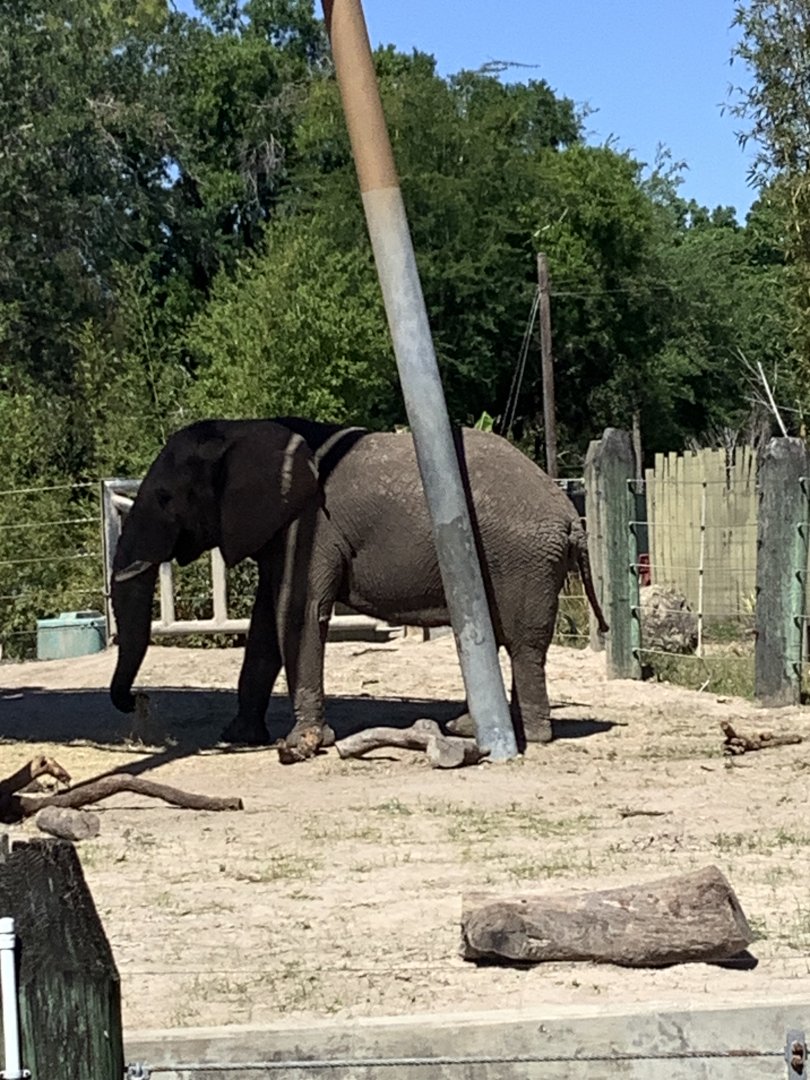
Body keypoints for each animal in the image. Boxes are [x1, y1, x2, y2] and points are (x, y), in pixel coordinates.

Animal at [110, 417, 608, 753]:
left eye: (164, 498)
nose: (136, 700)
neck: (245, 429)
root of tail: (570, 515)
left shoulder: (310, 526)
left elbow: (297, 612)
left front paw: (302, 743)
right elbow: (266, 627)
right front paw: (239, 738)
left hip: (523, 559)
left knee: (523, 644)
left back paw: (530, 737)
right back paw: (469, 728)